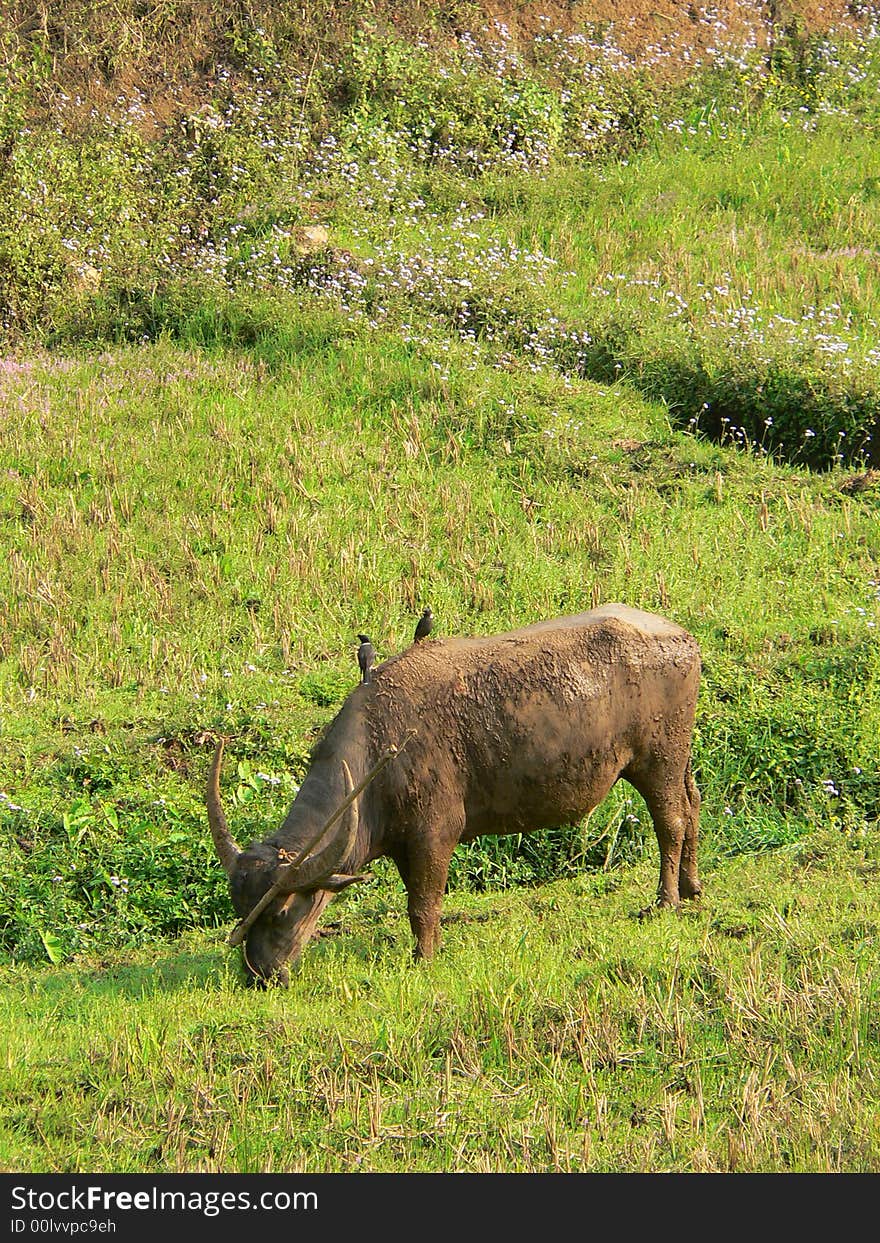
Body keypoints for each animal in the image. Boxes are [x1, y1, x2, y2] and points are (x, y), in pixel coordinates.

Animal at [206, 606, 701, 984]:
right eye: (240, 906)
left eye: (281, 912)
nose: (259, 975)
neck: (378, 748)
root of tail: (683, 640)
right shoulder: (403, 846)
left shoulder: (433, 837)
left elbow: (422, 906)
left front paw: (424, 958)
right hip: (679, 758)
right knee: (693, 805)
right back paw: (692, 888)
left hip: (657, 760)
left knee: (671, 821)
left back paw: (665, 901)